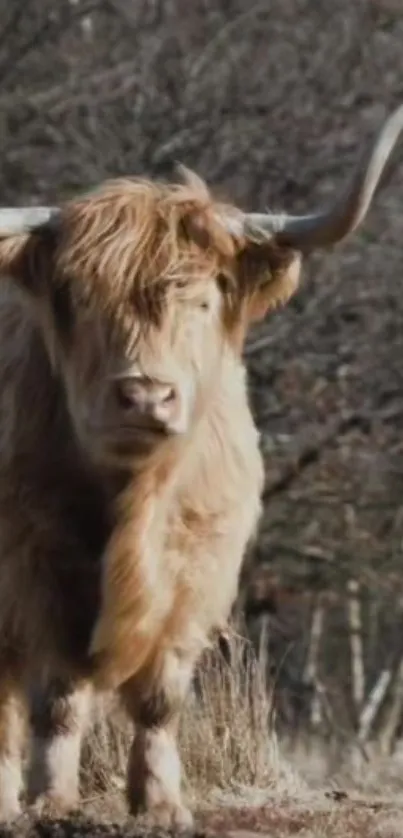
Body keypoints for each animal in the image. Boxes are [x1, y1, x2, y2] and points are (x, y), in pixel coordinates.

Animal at [0, 106, 400, 832]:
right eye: (82, 299)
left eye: (205, 302)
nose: (144, 395)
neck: (135, 493)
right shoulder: (35, 561)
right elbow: (59, 695)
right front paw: (51, 799)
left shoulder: (200, 563)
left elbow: (161, 698)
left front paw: (161, 803)